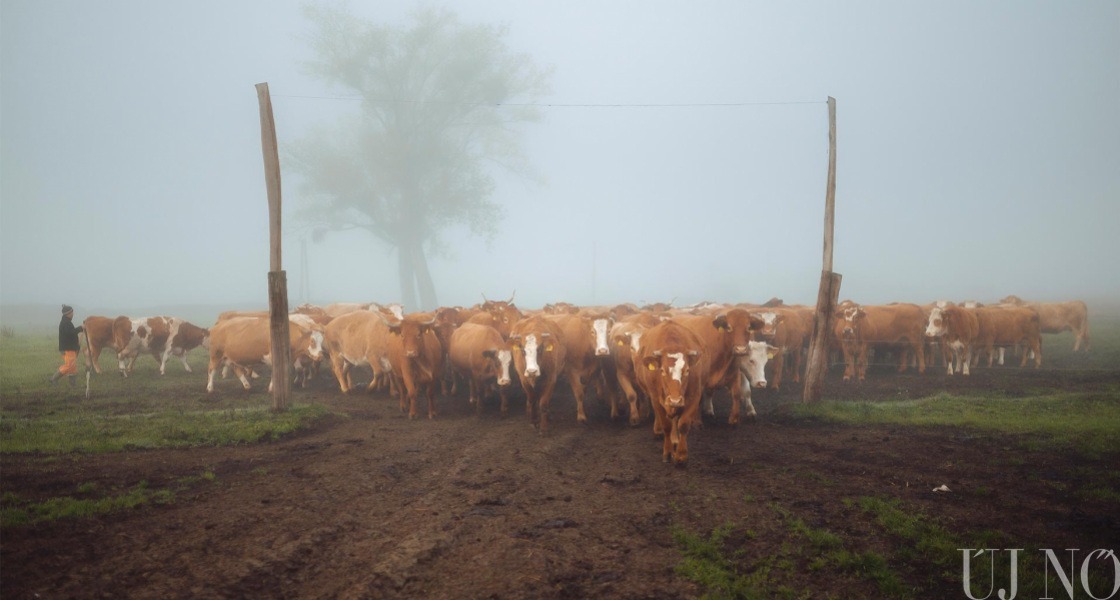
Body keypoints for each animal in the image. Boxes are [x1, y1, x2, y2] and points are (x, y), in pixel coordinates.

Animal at [636, 320, 703, 465]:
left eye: (687, 370)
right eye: (661, 370)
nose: (675, 400)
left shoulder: (694, 396)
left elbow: (683, 424)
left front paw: (681, 455)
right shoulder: (655, 398)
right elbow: (666, 425)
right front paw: (667, 452)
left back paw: (675, 439)